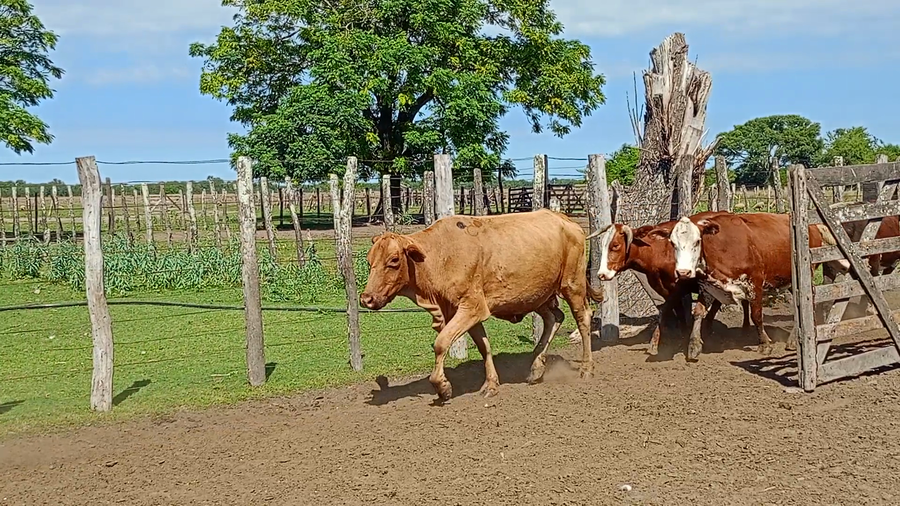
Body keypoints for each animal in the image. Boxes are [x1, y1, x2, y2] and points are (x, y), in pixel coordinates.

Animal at [359, 209, 604, 402]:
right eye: (369, 261)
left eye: (393, 260)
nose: (366, 298)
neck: (439, 256)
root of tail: (565, 220)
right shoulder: (466, 312)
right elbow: (483, 346)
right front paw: (491, 384)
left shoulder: (472, 307)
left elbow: (441, 343)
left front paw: (443, 387)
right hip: (537, 295)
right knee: (554, 318)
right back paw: (536, 368)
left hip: (572, 284)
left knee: (583, 318)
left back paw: (586, 368)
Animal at [587, 210, 749, 356]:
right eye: (603, 244)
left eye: (615, 245)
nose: (601, 274)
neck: (659, 250)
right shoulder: (663, 288)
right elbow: (674, 310)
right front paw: (682, 334)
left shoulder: (679, 287)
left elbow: (665, 309)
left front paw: (655, 342)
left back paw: (744, 329)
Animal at [668, 212, 848, 360]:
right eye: (673, 243)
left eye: (697, 241)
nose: (683, 272)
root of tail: (813, 226)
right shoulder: (708, 287)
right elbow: (698, 312)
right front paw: (694, 345)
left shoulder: (755, 284)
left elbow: (757, 316)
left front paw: (765, 344)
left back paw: (792, 341)